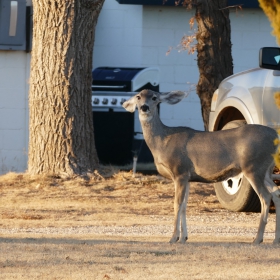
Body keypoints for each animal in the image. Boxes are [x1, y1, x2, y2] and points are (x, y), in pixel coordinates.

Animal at [123, 88, 280, 244]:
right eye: (138, 97)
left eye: (154, 97)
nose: (144, 107)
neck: (162, 142)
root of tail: (275, 136)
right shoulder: (187, 177)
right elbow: (184, 206)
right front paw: (184, 238)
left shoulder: (179, 171)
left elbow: (177, 204)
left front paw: (174, 238)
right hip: (265, 170)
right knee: (276, 192)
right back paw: (275, 240)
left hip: (253, 166)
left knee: (266, 196)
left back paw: (258, 239)